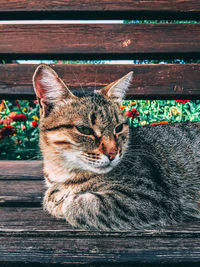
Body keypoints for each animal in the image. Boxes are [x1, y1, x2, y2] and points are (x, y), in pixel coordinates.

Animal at [32, 64, 200, 230]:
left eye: (118, 128)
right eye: (84, 130)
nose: (113, 153)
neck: (62, 173)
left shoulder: (150, 198)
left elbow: (74, 206)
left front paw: (62, 202)